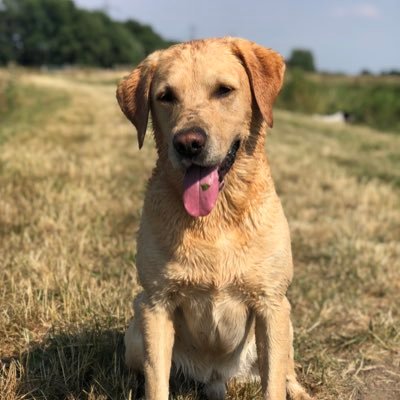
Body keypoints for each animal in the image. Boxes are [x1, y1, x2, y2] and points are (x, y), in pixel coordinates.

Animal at [117, 37, 310, 400]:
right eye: (166, 96)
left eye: (224, 90)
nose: (188, 143)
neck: (216, 218)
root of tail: (216, 378)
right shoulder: (156, 304)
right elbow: (156, 383)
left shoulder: (271, 304)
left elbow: (274, 383)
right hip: (135, 329)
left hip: (286, 322)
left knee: (286, 370)